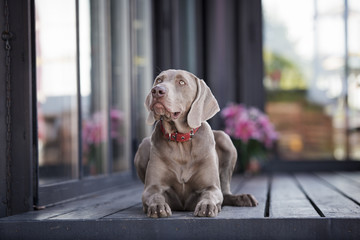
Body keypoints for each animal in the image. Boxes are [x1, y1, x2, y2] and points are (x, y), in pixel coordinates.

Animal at [134, 69, 256, 218]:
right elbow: (155, 195)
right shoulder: (151, 188)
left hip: (225, 138)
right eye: (158, 80)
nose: (157, 90)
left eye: (182, 82)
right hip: (144, 145)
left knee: (225, 192)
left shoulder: (212, 187)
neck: (180, 141)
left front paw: (206, 206)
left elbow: (210, 194)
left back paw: (242, 198)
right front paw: (158, 206)